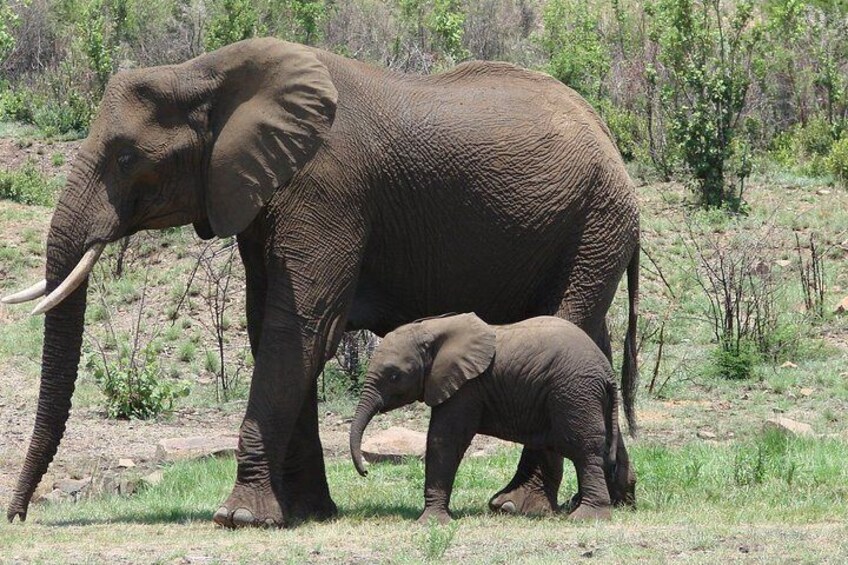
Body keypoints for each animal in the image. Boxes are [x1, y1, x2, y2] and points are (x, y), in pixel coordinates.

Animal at [348, 310, 632, 524]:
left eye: (394, 376)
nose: (366, 471)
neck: (434, 328)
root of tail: (607, 372)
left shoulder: (467, 387)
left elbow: (444, 440)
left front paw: (431, 523)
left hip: (574, 391)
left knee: (582, 448)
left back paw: (587, 516)